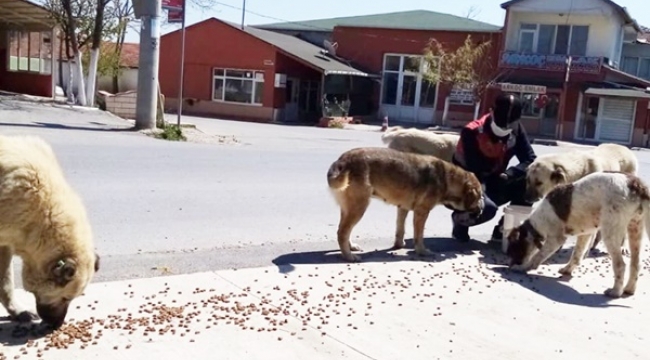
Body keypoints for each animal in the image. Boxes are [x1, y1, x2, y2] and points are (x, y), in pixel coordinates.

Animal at [0, 135, 98, 330]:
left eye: (71, 299)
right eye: (66, 297)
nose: (57, 325)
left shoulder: (7, 239)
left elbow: (5, 280)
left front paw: (17, 310)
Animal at [326, 146, 484, 262]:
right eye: (480, 197)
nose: (482, 210)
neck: (447, 178)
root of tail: (343, 160)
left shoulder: (403, 208)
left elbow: (400, 229)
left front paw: (399, 245)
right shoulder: (421, 212)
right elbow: (419, 236)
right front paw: (422, 251)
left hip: (349, 209)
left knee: (344, 231)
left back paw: (350, 247)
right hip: (359, 208)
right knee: (342, 232)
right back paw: (348, 256)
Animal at [506, 172, 648, 298]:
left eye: (514, 248)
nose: (510, 265)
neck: (537, 222)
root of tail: (636, 185)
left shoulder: (556, 239)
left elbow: (537, 256)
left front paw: (522, 268)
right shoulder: (586, 233)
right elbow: (576, 255)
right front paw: (567, 270)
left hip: (611, 232)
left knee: (620, 265)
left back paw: (615, 292)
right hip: (636, 229)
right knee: (636, 263)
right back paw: (629, 289)